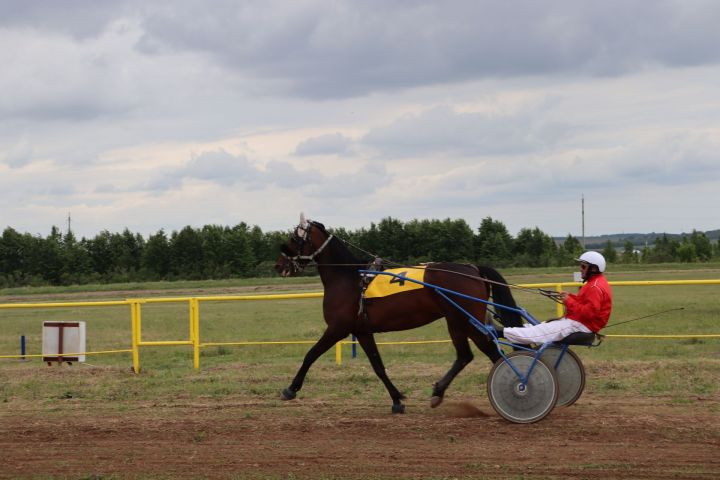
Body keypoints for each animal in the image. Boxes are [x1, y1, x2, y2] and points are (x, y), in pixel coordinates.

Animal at [272, 214, 520, 412]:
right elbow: (378, 366)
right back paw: (438, 393)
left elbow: (311, 354)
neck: (348, 280)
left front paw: (290, 389)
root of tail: (473, 269)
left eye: (294, 239)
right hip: (456, 321)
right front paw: (397, 400)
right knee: (465, 355)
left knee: (491, 353)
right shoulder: (362, 331)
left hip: (465, 320)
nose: (279, 265)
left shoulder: (337, 328)